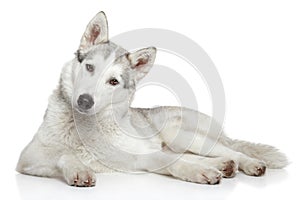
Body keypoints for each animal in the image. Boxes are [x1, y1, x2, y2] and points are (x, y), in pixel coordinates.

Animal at [17, 10, 288, 186]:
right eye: (90, 67)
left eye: (113, 81)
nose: (84, 101)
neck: (85, 130)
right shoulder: (27, 158)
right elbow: (63, 154)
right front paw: (79, 170)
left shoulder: (138, 158)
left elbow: (172, 163)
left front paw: (197, 172)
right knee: (208, 155)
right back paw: (224, 165)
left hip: (180, 135)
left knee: (230, 151)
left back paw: (247, 164)